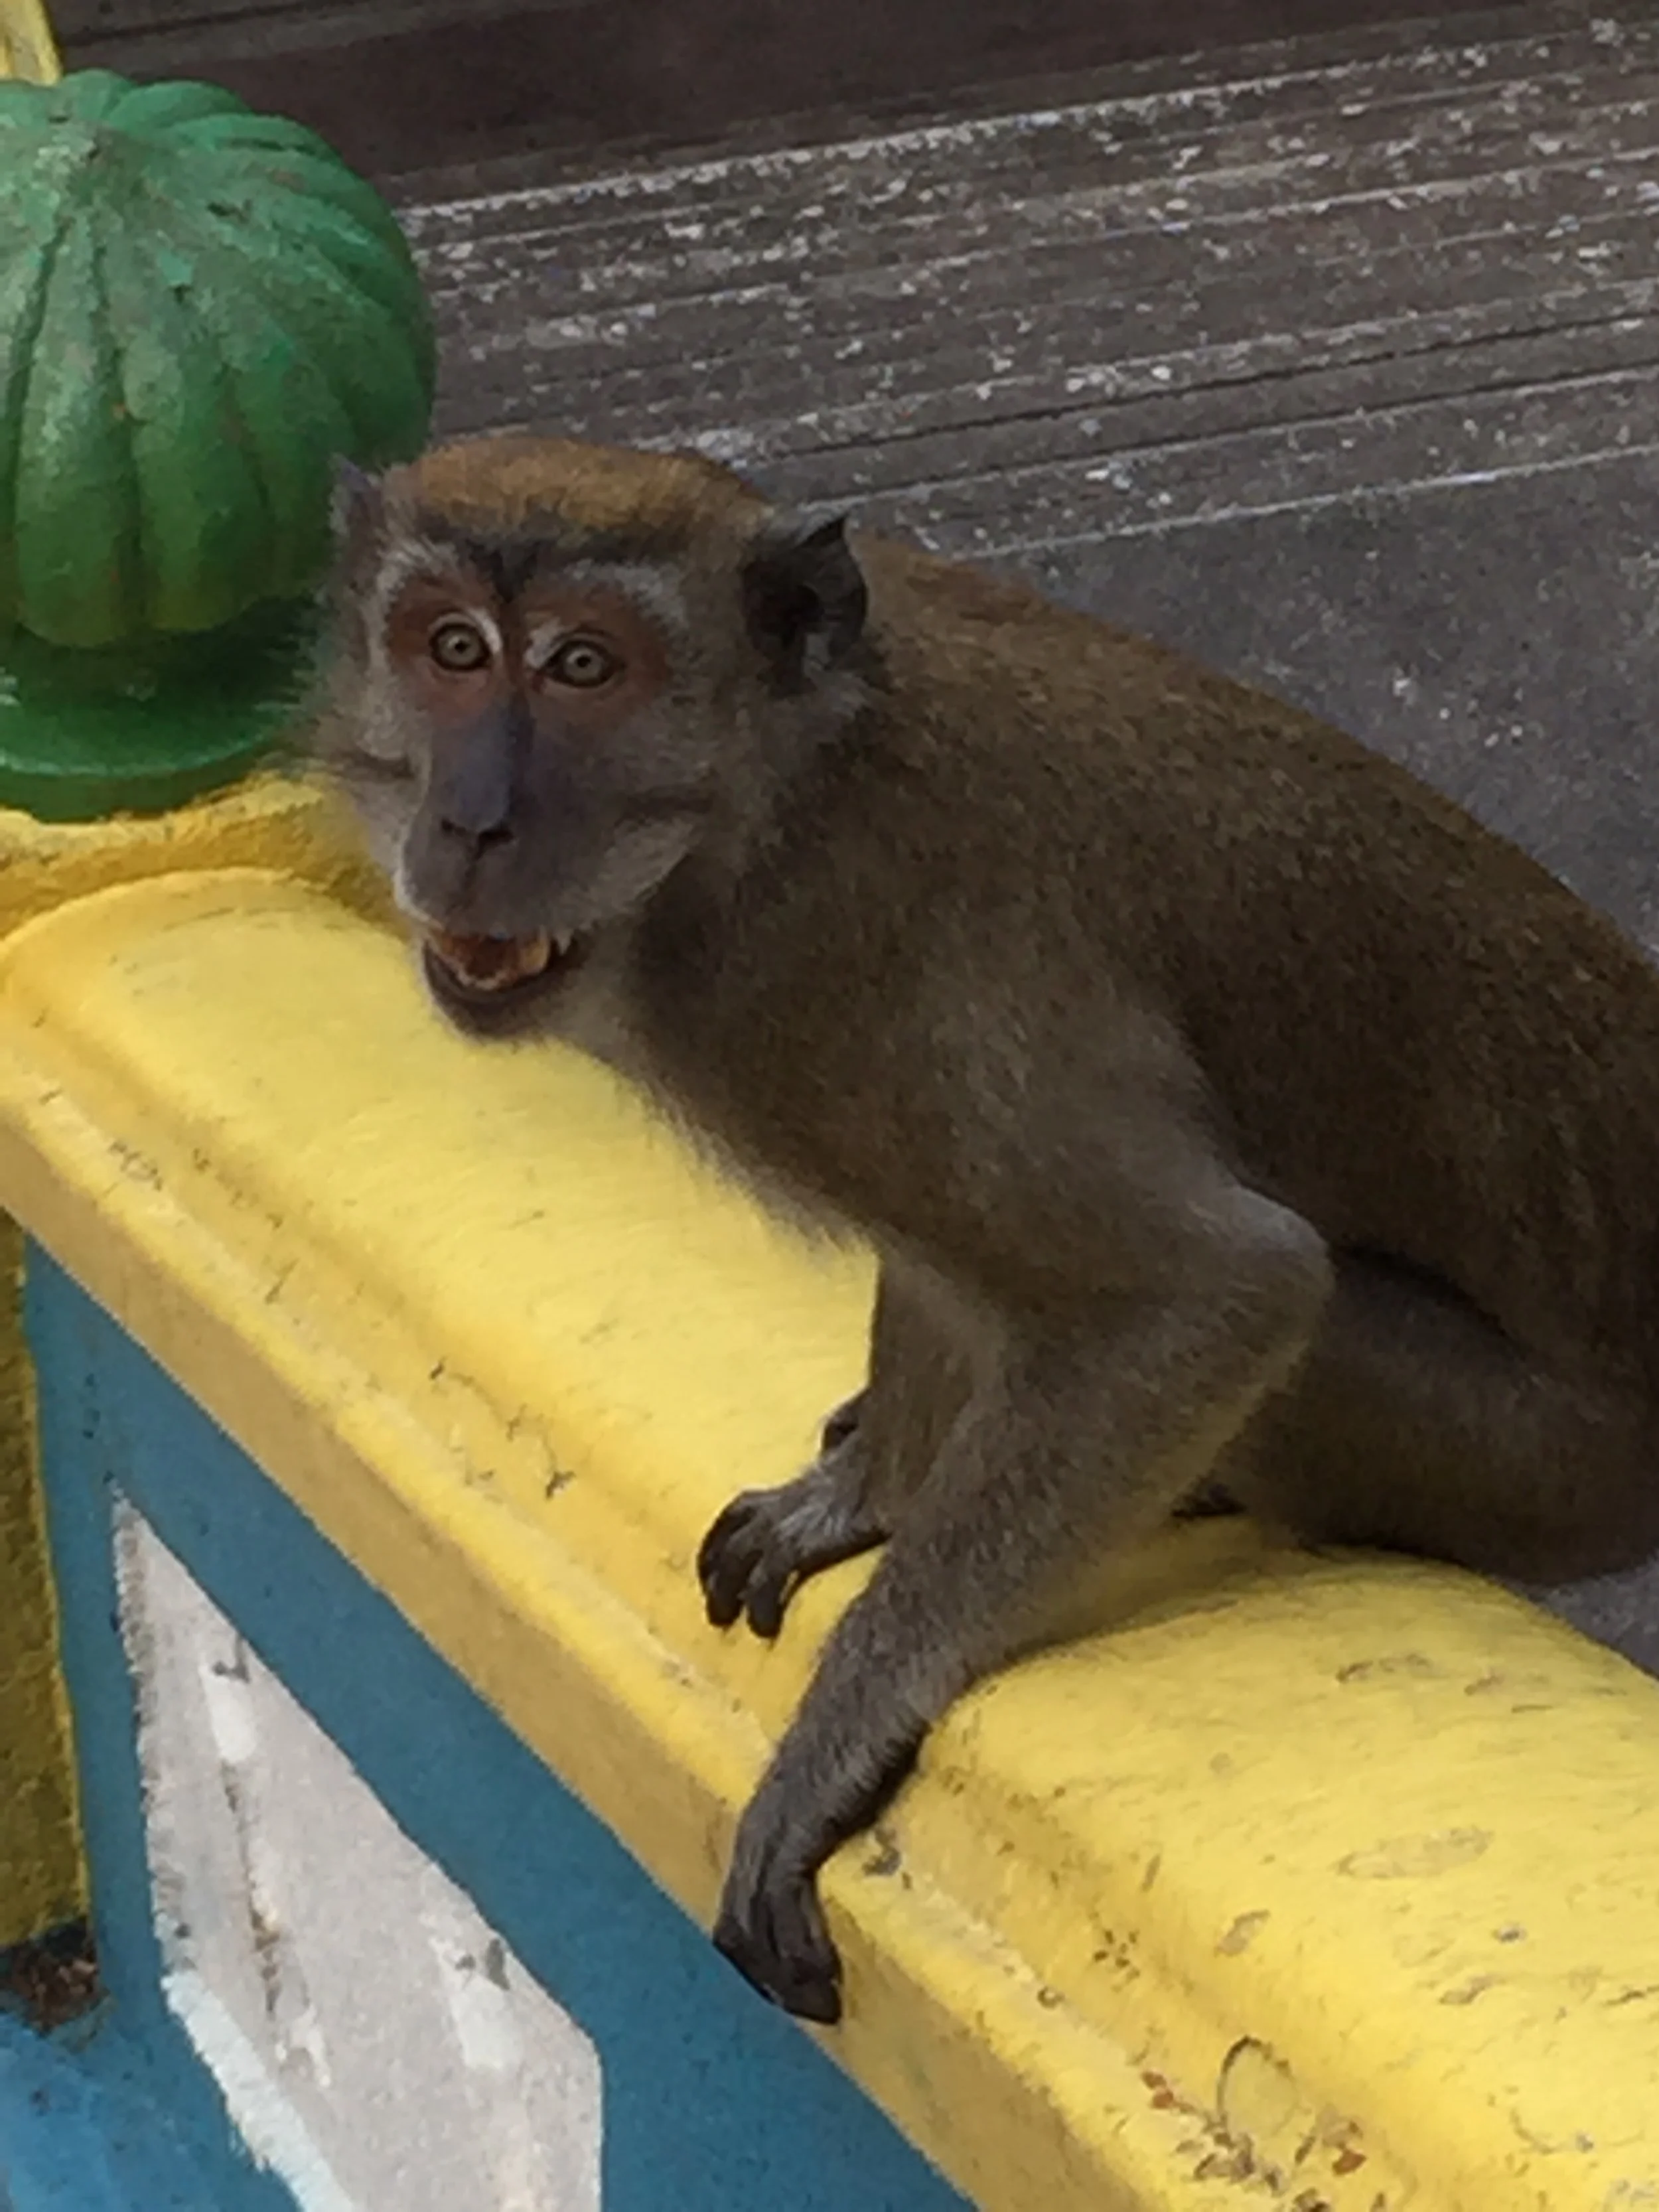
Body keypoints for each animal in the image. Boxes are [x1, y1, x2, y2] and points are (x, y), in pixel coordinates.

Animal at [311, 431, 1659, 2027]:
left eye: (585, 666)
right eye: (449, 649)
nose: (471, 822)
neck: (776, 802)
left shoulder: (867, 983)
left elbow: (1219, 1288)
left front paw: (843, 1724)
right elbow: (951, 1269)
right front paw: (865, 1491)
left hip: (1538, 1468)